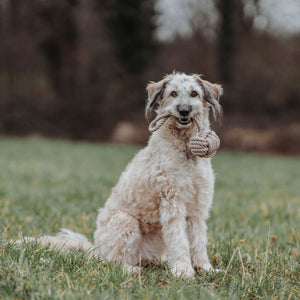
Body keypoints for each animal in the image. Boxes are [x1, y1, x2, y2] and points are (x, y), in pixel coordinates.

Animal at [19, 72, 223, 278]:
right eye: (173, 93)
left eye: (194, 93)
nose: (184, 111)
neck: (186, 150)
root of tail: (95, 248)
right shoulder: (173, 203)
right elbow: (179, 240)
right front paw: (183, 271)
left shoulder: (198, 207)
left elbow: (199, 240)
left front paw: (205, 268)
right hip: (125, 221)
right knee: (111, 261)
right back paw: (131, 269)